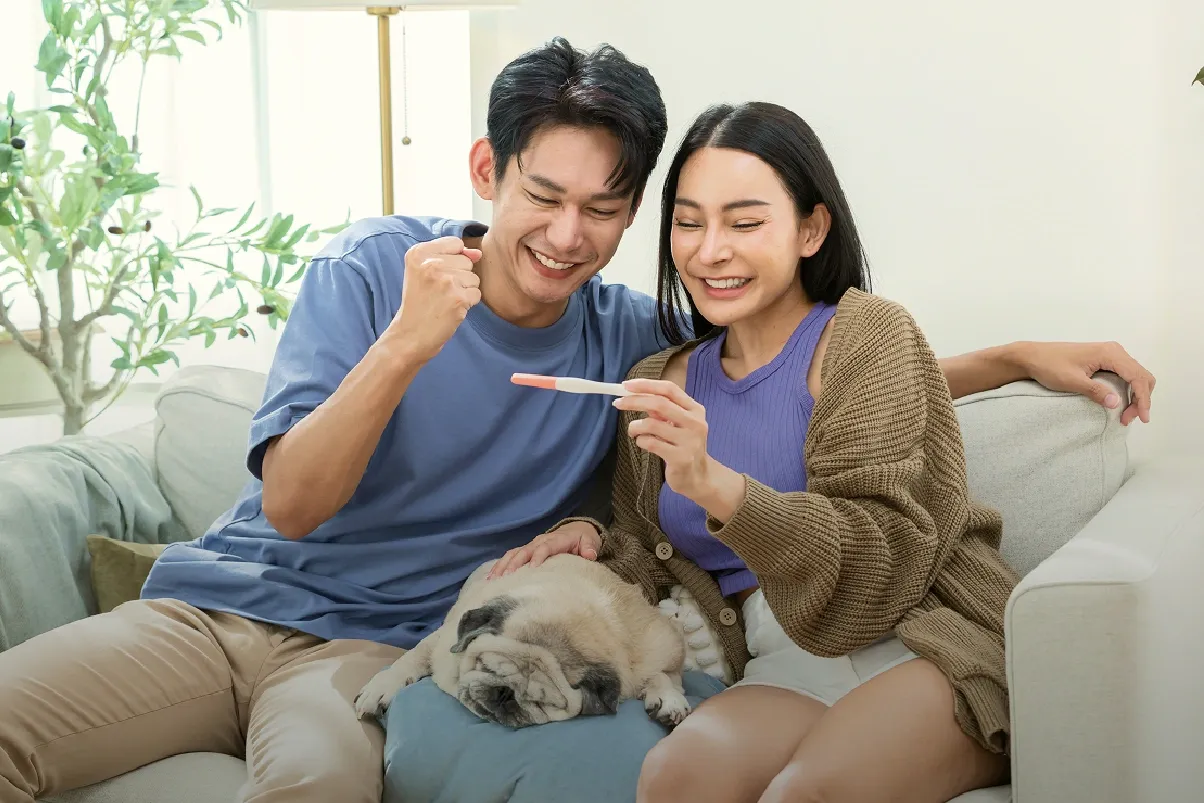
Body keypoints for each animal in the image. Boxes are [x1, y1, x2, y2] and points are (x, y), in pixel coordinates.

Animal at [354, 554, 692, 729]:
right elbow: (410, 658)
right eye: (487, 667)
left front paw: (667, 697)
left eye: (542, 702)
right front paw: (381, 688)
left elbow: (664, 675)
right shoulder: (442, 640)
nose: (505, 694)